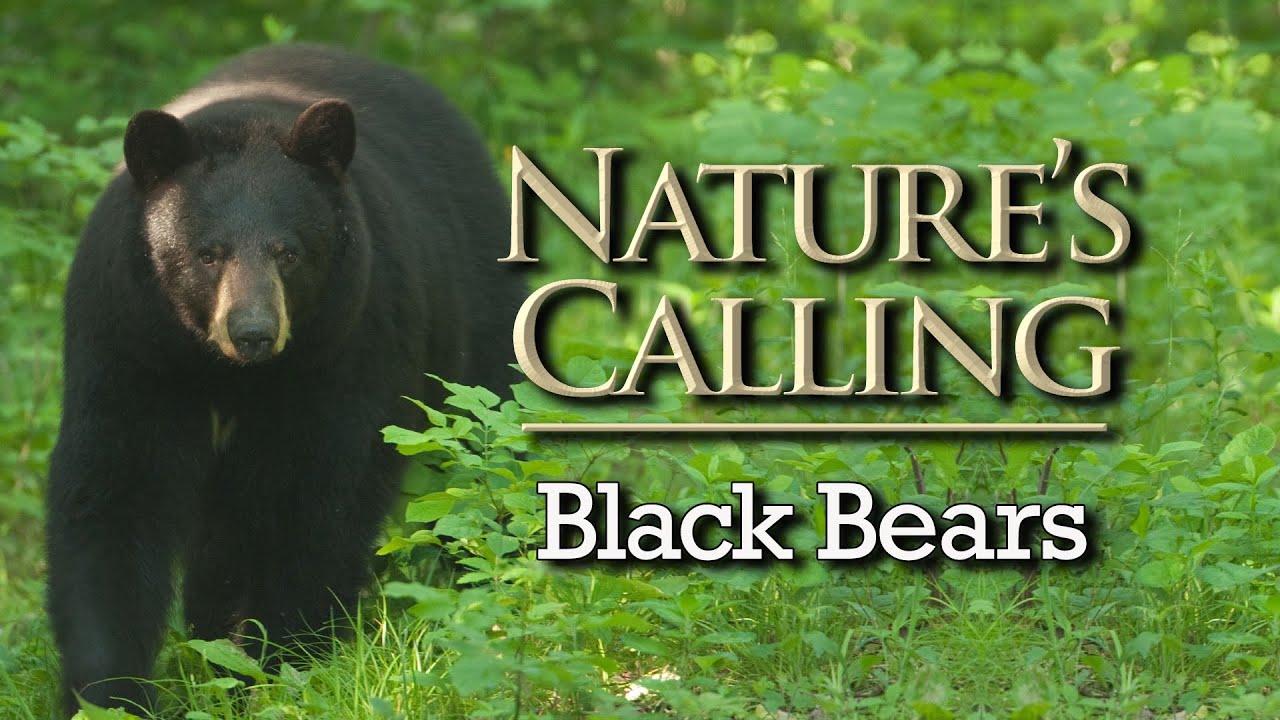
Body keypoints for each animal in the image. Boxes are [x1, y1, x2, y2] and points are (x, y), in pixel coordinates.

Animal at [44, 43, 520, 715]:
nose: (253, 332)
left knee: (485, 440)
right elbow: (113, 494)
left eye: (289, 252)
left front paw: (283, 664)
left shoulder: (341, 351)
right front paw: (106, 693)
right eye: (208, 252)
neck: (224, 375)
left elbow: (316, 503)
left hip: (474, 316)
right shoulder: (128, 346)